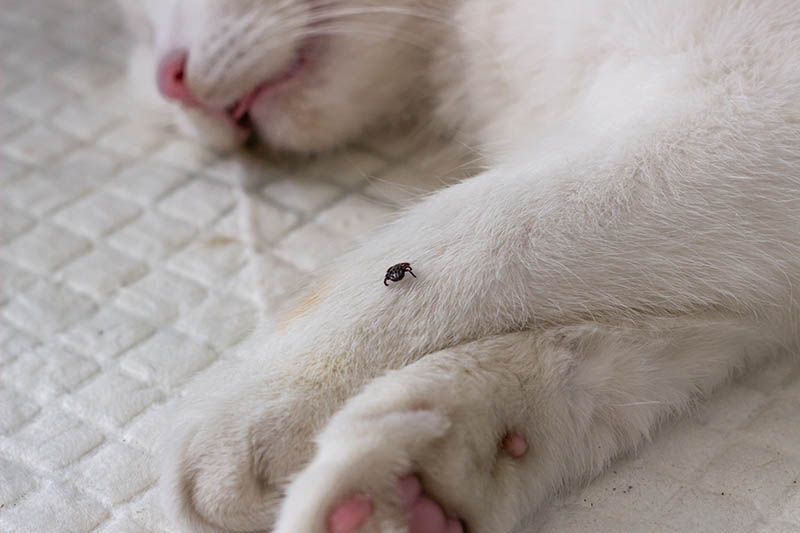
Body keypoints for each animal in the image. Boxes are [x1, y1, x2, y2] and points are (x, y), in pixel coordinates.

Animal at [120, 1, 800, 532]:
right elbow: (625, 362)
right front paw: (432, 466)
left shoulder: (755, 108)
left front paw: (259, 401)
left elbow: (486, 221)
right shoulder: (755, 281)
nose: (169, 80)